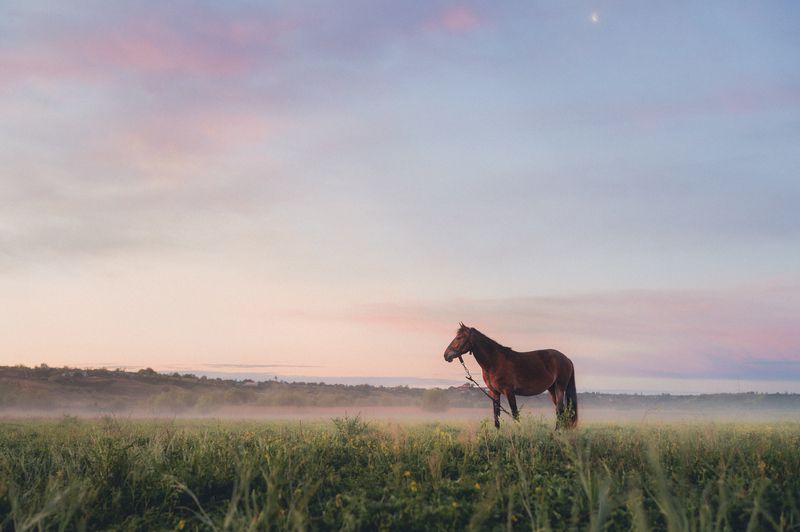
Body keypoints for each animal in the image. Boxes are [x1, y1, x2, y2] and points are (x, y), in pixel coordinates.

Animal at [443, 323, 578, 429]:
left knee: (560, 410)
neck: (495, 361)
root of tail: (566, 359)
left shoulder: (509, 391)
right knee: (561, 411)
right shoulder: (494, 392)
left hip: (560, 387)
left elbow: (515, 414)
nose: (446, 355)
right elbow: (496, 415)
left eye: (459, 337)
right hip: (552, 389)